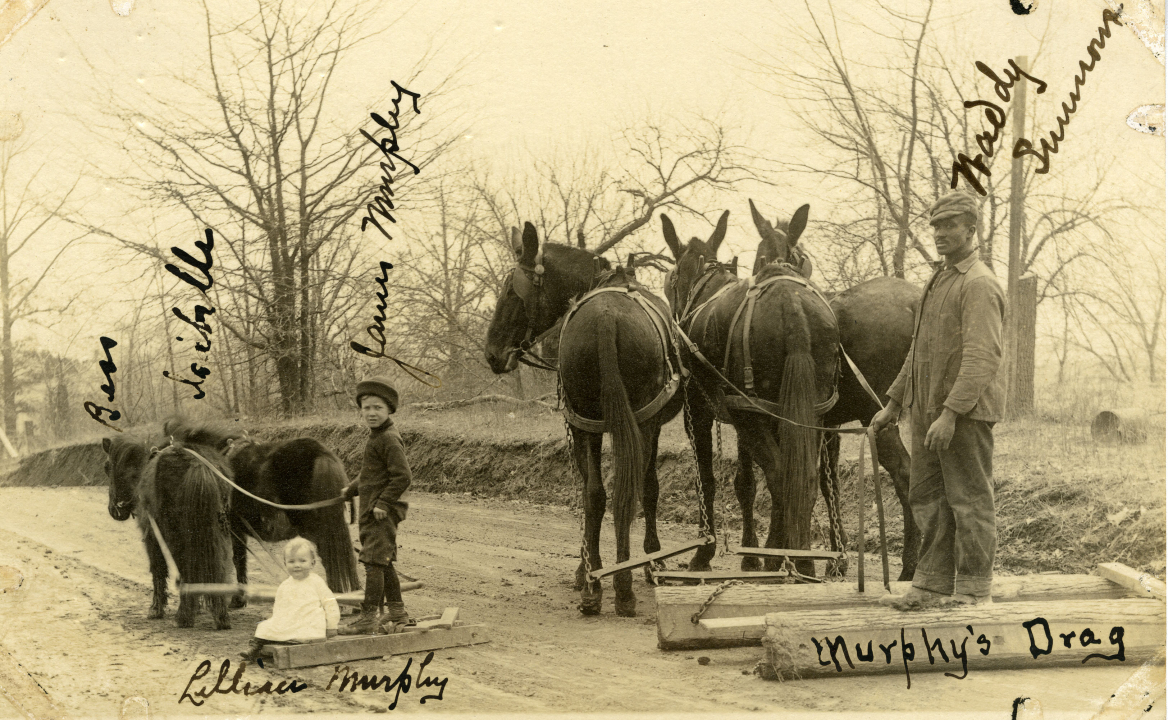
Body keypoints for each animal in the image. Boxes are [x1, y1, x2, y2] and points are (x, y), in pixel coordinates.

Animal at [483, 223, 682, 612]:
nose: (492, 353)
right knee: (622, 492)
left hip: (592, 422)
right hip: (630, 422)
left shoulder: (580, 425)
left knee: (601, 494)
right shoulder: (635, 427)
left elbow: (599, 492)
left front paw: (589, 568)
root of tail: (606, 317)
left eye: (512, 292)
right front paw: (644, 561)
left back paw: (601, 585)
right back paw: (620, 586)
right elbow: (645, 488)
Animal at [658, 206, 840, 572]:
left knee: (781, 476)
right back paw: (799, 559)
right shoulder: (748, 413)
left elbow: (707, 480)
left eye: (671, 278)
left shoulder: (698, 412)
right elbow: (746, 483)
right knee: (803, 479)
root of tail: (792, 306)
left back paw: (780, 557)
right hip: (804, 414)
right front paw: (751, 553)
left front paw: (706, 552)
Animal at [752, 205, 925, 577]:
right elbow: (826, 480)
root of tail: (917, 302)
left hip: (878, 415)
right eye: (761, 257)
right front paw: (838, 556)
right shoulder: (827, 424)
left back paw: (909, 565)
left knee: (904, 473)